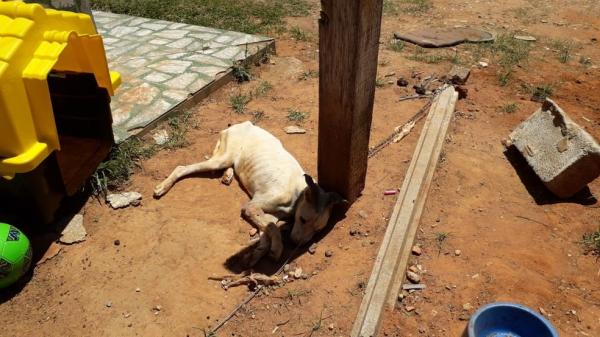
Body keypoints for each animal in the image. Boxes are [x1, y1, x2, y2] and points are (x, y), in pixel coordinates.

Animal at [152, 121, 344, 266]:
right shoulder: (251, 207)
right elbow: (273, 229)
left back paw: (228, 175)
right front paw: (276, 250)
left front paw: (257, 254)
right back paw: (162, 187)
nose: (296, 244)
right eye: (303, 220)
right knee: (182, 168)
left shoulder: (268, 215)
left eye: (318, 230)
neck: (298, 193)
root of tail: (242, 123)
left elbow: (268, 231)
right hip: (222, 158)